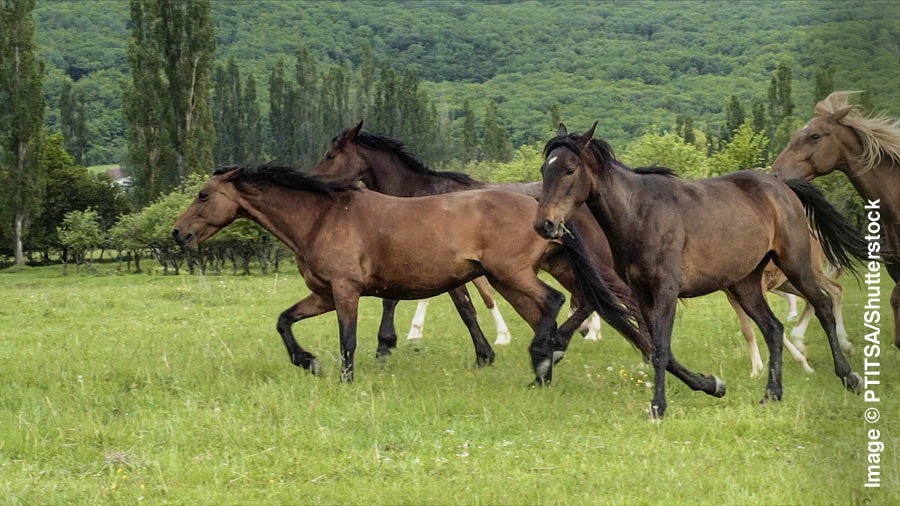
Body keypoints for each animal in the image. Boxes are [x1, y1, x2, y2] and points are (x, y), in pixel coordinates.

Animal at [172, 164, 634, 383]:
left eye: (203, 194)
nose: (178, 232)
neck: (322, 216)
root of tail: (545, 214)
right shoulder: (323, 294)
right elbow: (284, 320)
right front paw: (307, 362)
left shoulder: (345, 290)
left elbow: (348, 339)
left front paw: (346, 378)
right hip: (522, 277)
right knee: (557, 308)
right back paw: (544, 366)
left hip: (512, 275)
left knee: (555, 303)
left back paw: (543, 359)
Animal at [310, 122, 731, 398]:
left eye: (330, 154)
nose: (313, 179)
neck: (419, 193)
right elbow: (459, 305)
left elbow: (444, 305)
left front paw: (391, 344)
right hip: (563, 265)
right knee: (589, 301)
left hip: (589, 265)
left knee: (607, 300)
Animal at [534, 123, 867, 418]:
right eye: (543, 170)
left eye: (569, 169)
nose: (544, 225)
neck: (640, 213)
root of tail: (783, 187)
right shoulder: (642, 294)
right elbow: (658, 349)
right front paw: (713, 385)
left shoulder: (666, 290)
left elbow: (660, 348)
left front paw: (658, 407)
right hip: (745, 284)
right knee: (773, 328)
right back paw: (772, 394)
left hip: (795, 265)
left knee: (823, 304)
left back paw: (848, 376)